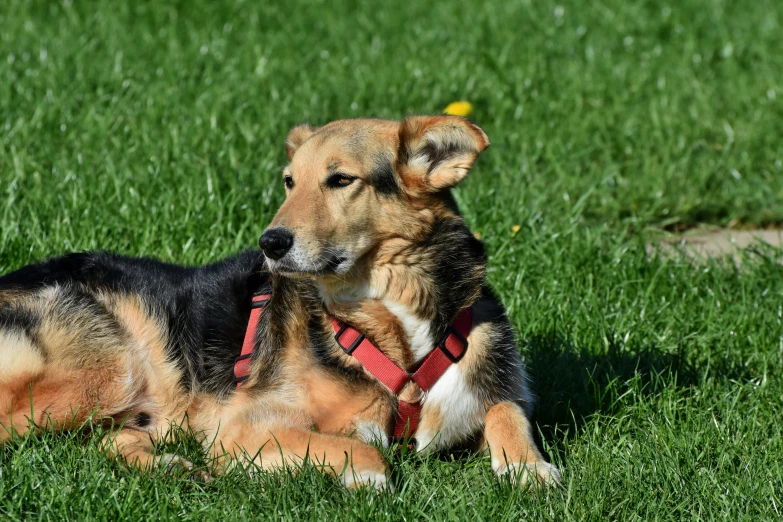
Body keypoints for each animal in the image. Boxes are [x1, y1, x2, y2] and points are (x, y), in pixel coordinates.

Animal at [3, 114, 560, 488]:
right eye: (290, 182)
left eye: (341, 179)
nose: (269, 243)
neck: (392, 320)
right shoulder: (243, 426)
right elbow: (363, 450)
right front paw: (366, 478)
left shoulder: (488, 373)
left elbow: (505, 410)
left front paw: (529, 467)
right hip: (109, 367)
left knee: (106, 440)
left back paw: (172, 468)